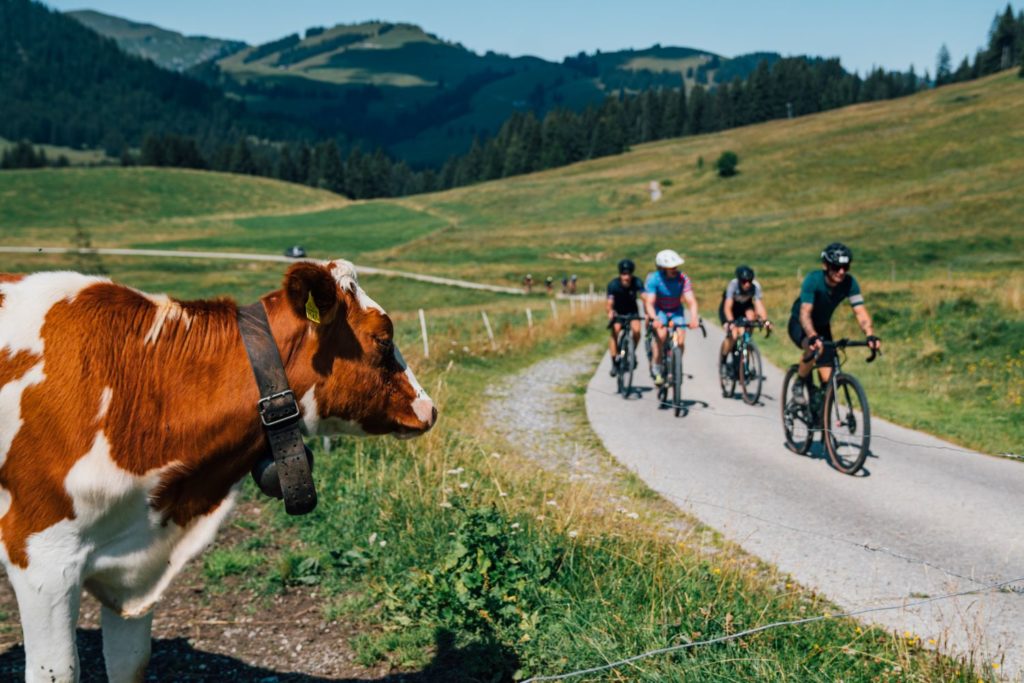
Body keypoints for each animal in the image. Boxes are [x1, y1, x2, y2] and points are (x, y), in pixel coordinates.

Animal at [0, 259, 434, 679]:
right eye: (383, 337)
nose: (429, 408)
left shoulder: (133, 567)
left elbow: (131, 662)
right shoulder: (42, 559)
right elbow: (58, 669)